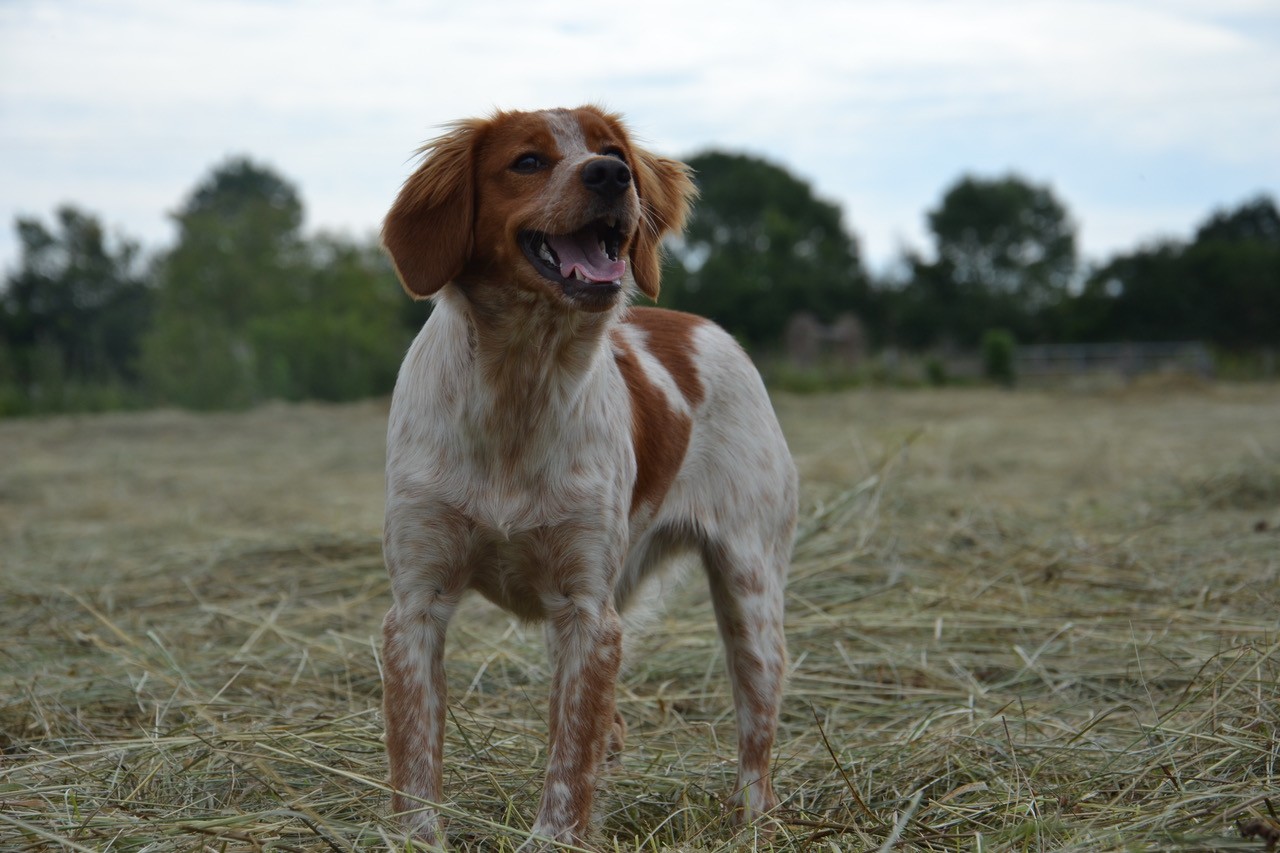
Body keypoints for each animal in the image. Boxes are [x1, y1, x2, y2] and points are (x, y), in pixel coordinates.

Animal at [376, 104, 798, 845]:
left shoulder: (586, 614)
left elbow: (571, 759)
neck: (518, 386)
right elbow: (416, 757)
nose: (610, 175)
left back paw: (751, 816)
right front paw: (418, 838)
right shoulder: (417, 603)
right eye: (527, 161)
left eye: (612, 152)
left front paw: (554, 838)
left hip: (750, 591)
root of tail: (700, 325)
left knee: (756, 731)